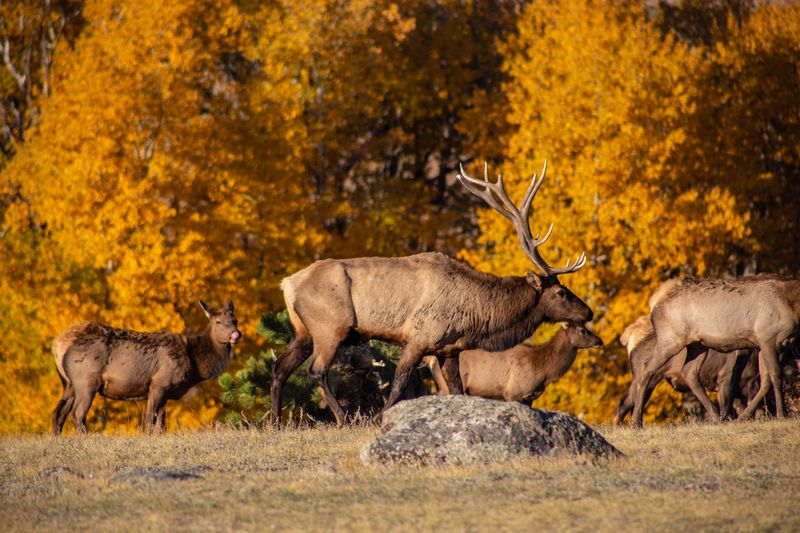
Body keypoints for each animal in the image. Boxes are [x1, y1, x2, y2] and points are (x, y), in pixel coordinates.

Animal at [51, 300, 239, 432]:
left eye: (235, 320)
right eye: (218, 322)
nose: (236, 334)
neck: (194, 365)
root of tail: (57, 345)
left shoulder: (166, 392)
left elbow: (162, 426)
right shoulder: (159, 383)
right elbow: (150, 420)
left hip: (69, 384)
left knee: (58, 413)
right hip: (86, 381)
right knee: (77, 413)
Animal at [616, 316, 760, 424]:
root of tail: (632, 348)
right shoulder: (725, 376)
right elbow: (729, 406)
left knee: (626, 401)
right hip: (650, 377)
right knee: (627, 401)